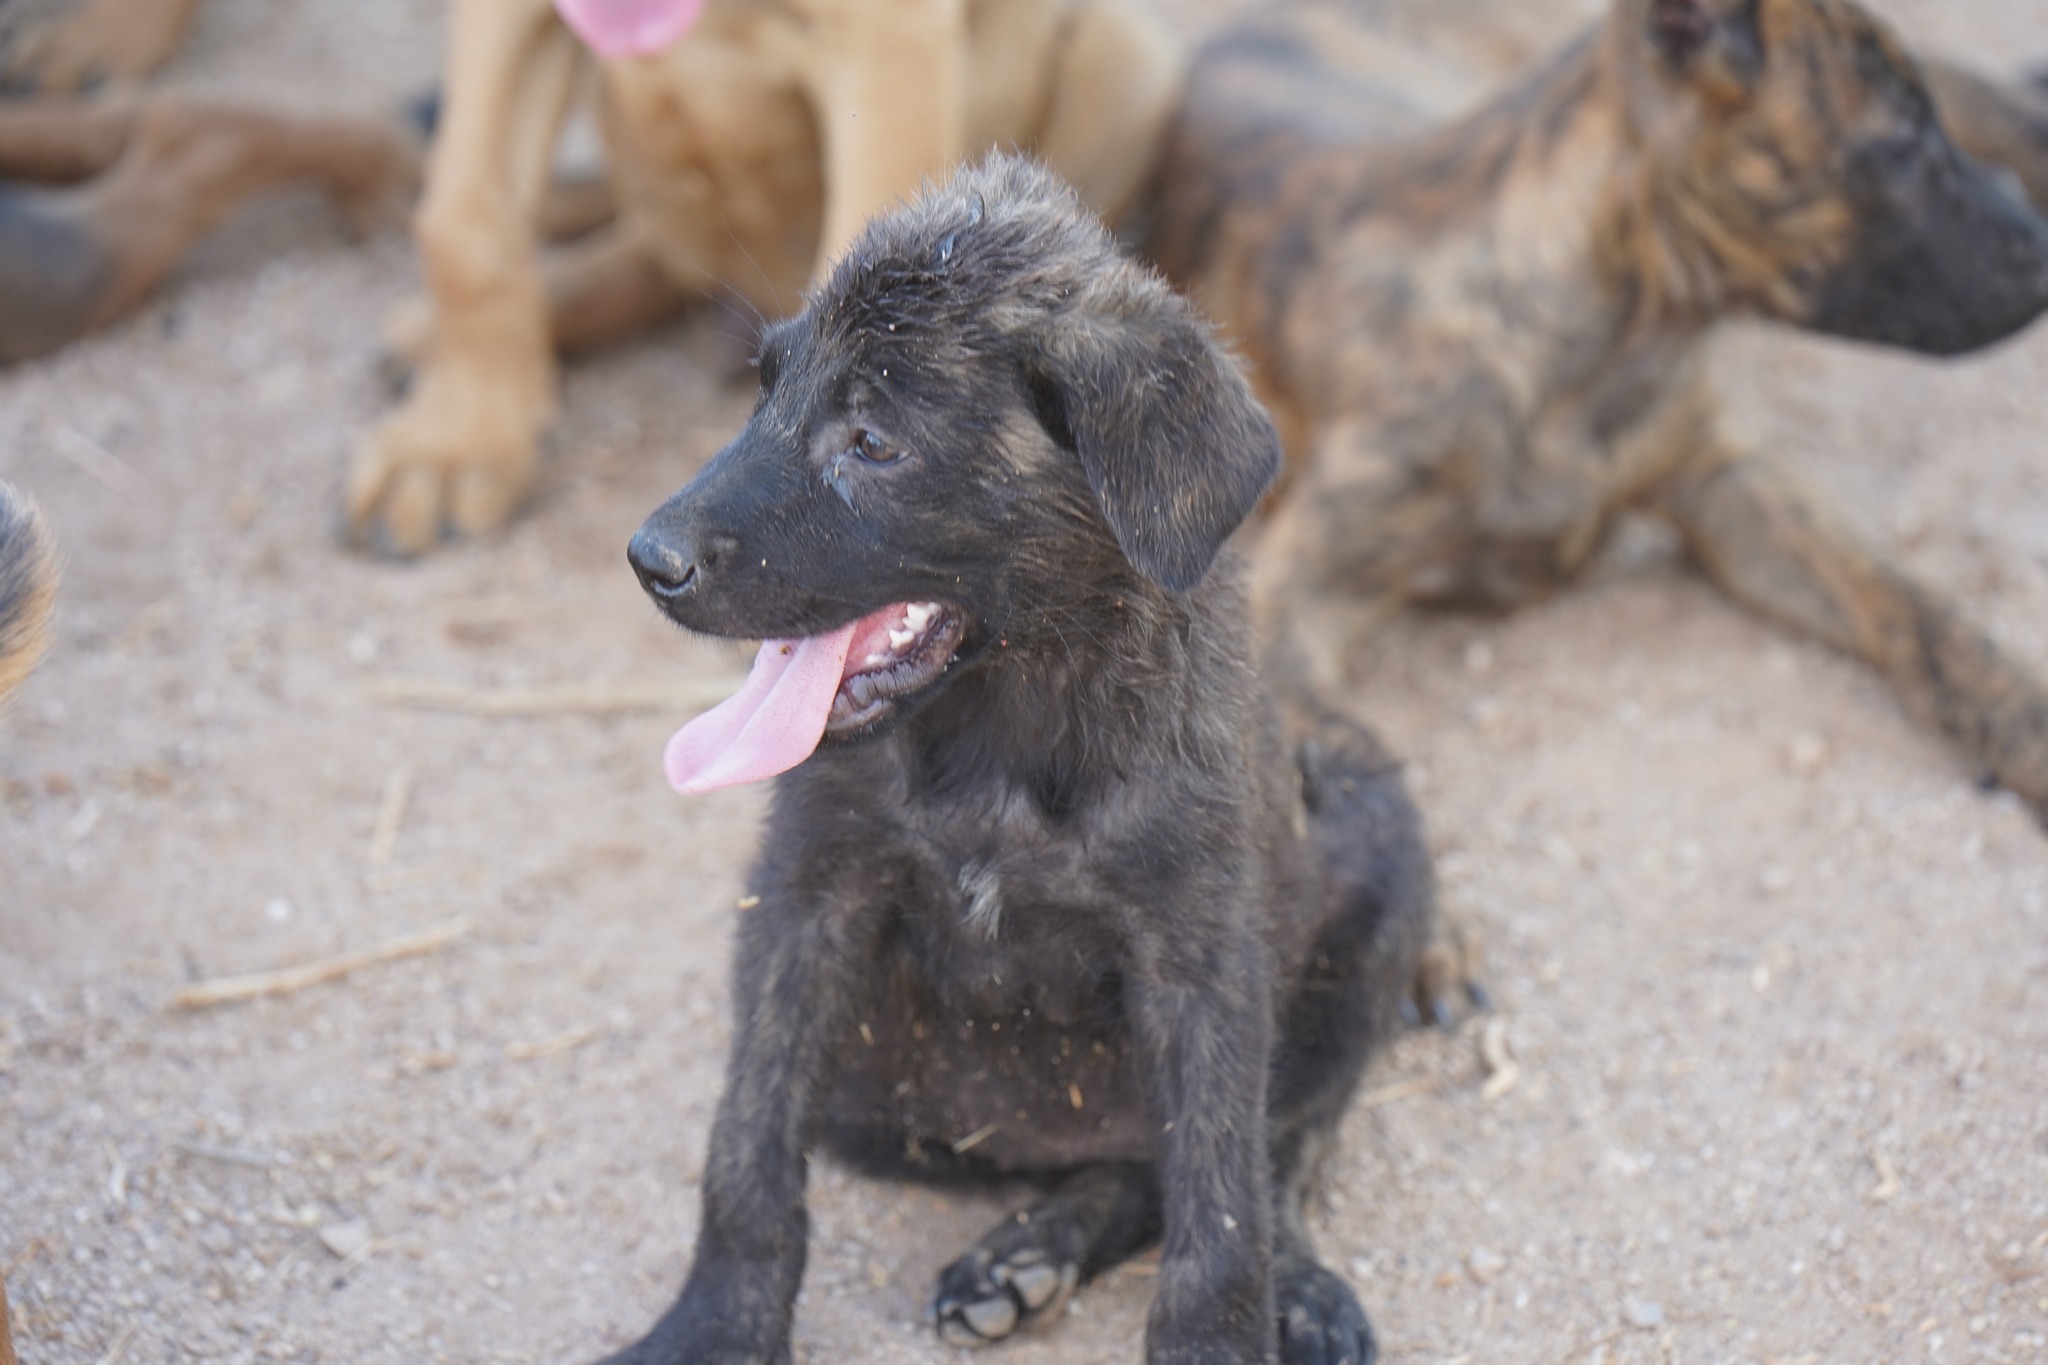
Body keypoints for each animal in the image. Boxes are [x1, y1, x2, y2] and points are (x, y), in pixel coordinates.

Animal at [614, 157, 1433, 1365]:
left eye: (873, 441)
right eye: (763, 389)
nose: (648, 558)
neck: (1003, 736)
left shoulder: (1202, 954)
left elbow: (1221, 1211)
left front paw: (1225, 1329)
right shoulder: (805, 899)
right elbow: (747, 1152)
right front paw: (713, 1327)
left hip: (1367, 881)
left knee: (1266, 1153)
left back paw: (1282, 1285)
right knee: (1138, 1167)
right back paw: (1026, 1252)